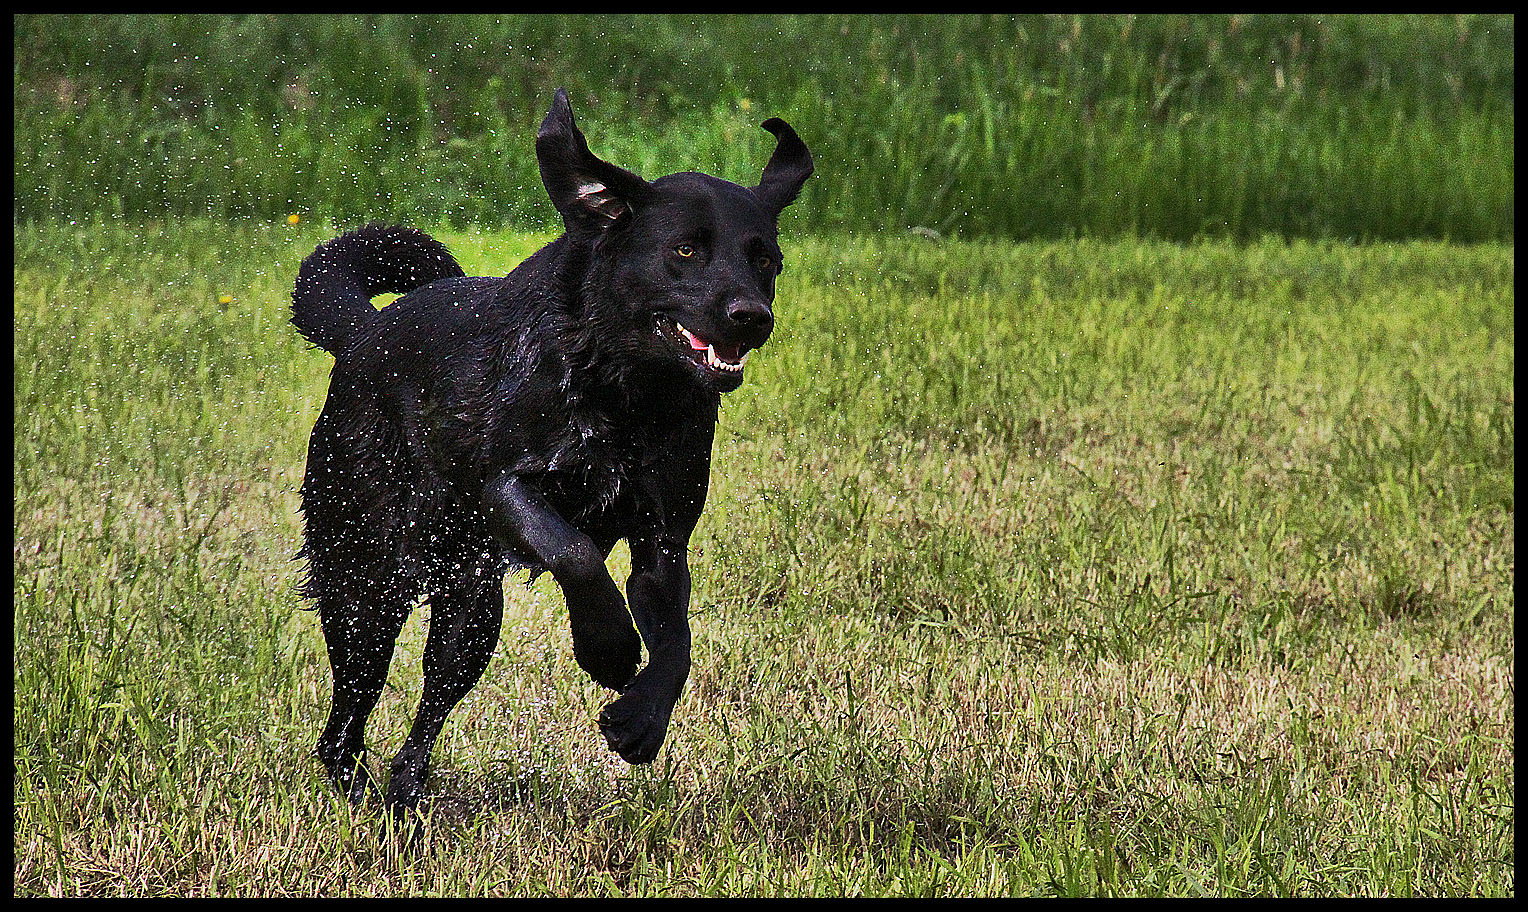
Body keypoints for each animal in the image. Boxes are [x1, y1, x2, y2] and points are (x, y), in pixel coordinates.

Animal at [287, 88, 812, 812]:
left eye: (766, 260)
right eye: (684, 250)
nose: (751, 317)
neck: (626, 394)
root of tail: (363, 332)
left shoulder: (662, 539)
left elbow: (676, 641)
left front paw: (641, 718)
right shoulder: (508, 487)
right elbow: (577, 552)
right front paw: (609, 647)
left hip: (469, 612)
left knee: (429, 705)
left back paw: (404, 794)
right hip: (367, 578)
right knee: (347, 714)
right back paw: (361, 790)